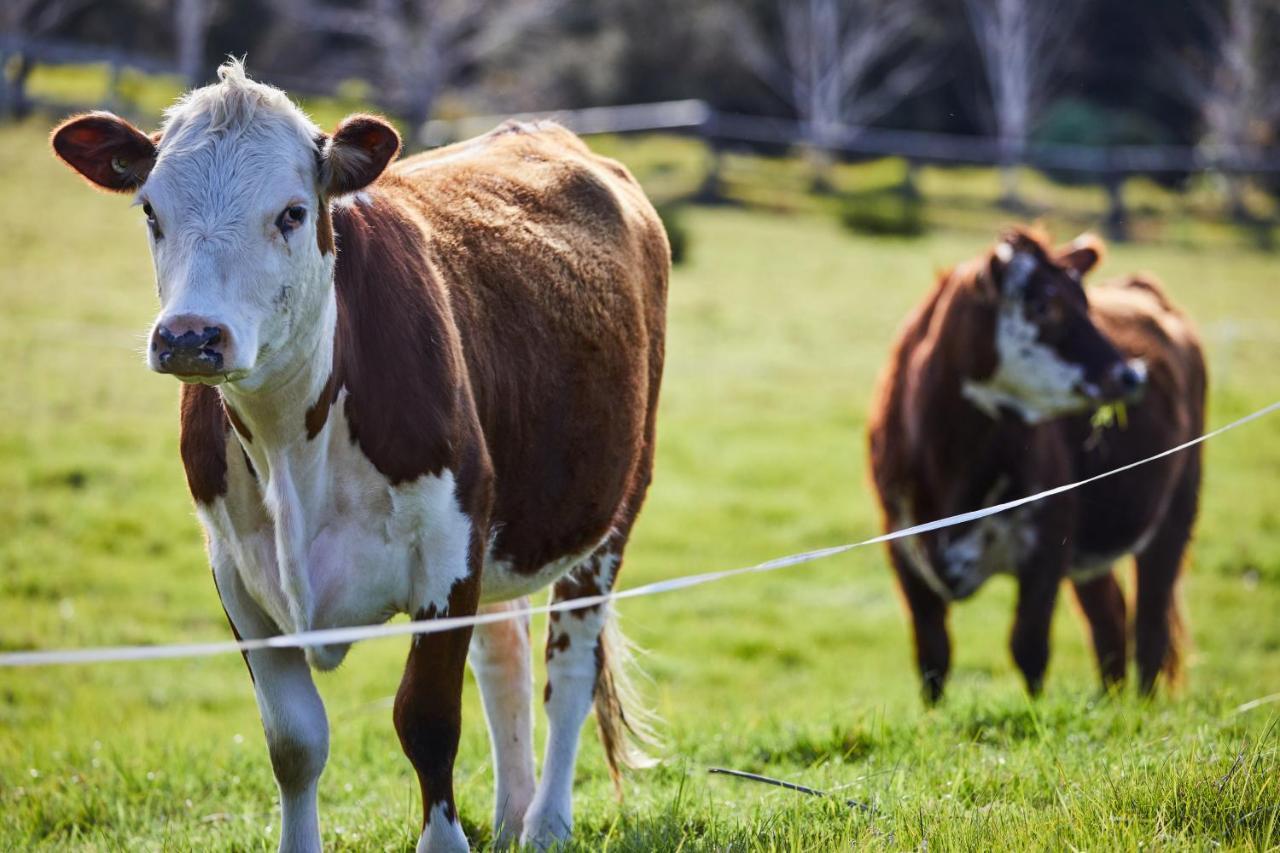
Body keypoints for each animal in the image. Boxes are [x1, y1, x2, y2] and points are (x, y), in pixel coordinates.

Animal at [49, 61, 670, 850]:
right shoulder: (236, 571)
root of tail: (547, 132)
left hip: (612, 509)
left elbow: (427, 721)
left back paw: (546, 822)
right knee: (505, 657)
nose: (190, 337)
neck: (289, 444)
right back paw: (511, 814)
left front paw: (445, 841)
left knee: (570, 668)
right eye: (151, 211)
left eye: (290, 212)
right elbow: (293, 740)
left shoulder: (448, 553)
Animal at [865, 224, 1203, 696]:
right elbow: (933, 656)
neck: (950, 458)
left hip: (1176, 513)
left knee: (1151, 623)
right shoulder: (903, 548)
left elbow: (1028, 647)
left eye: (1084, 303)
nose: (1131, 375)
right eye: (1044, 305)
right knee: (1110, 618)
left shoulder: (1047, 544)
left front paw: (1036, 711)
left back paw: (1141, 706)